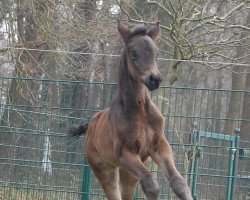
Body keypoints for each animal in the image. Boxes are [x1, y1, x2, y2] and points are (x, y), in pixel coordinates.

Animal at [70, 21, 193, 200]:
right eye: (133, 52)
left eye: (157, 53)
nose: (155, 79)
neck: (140, 110)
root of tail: (91, 123)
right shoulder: (126, 153)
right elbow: (151, 185)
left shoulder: (159, 146)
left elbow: (180, 183)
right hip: (106, 170)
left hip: (128, 173)